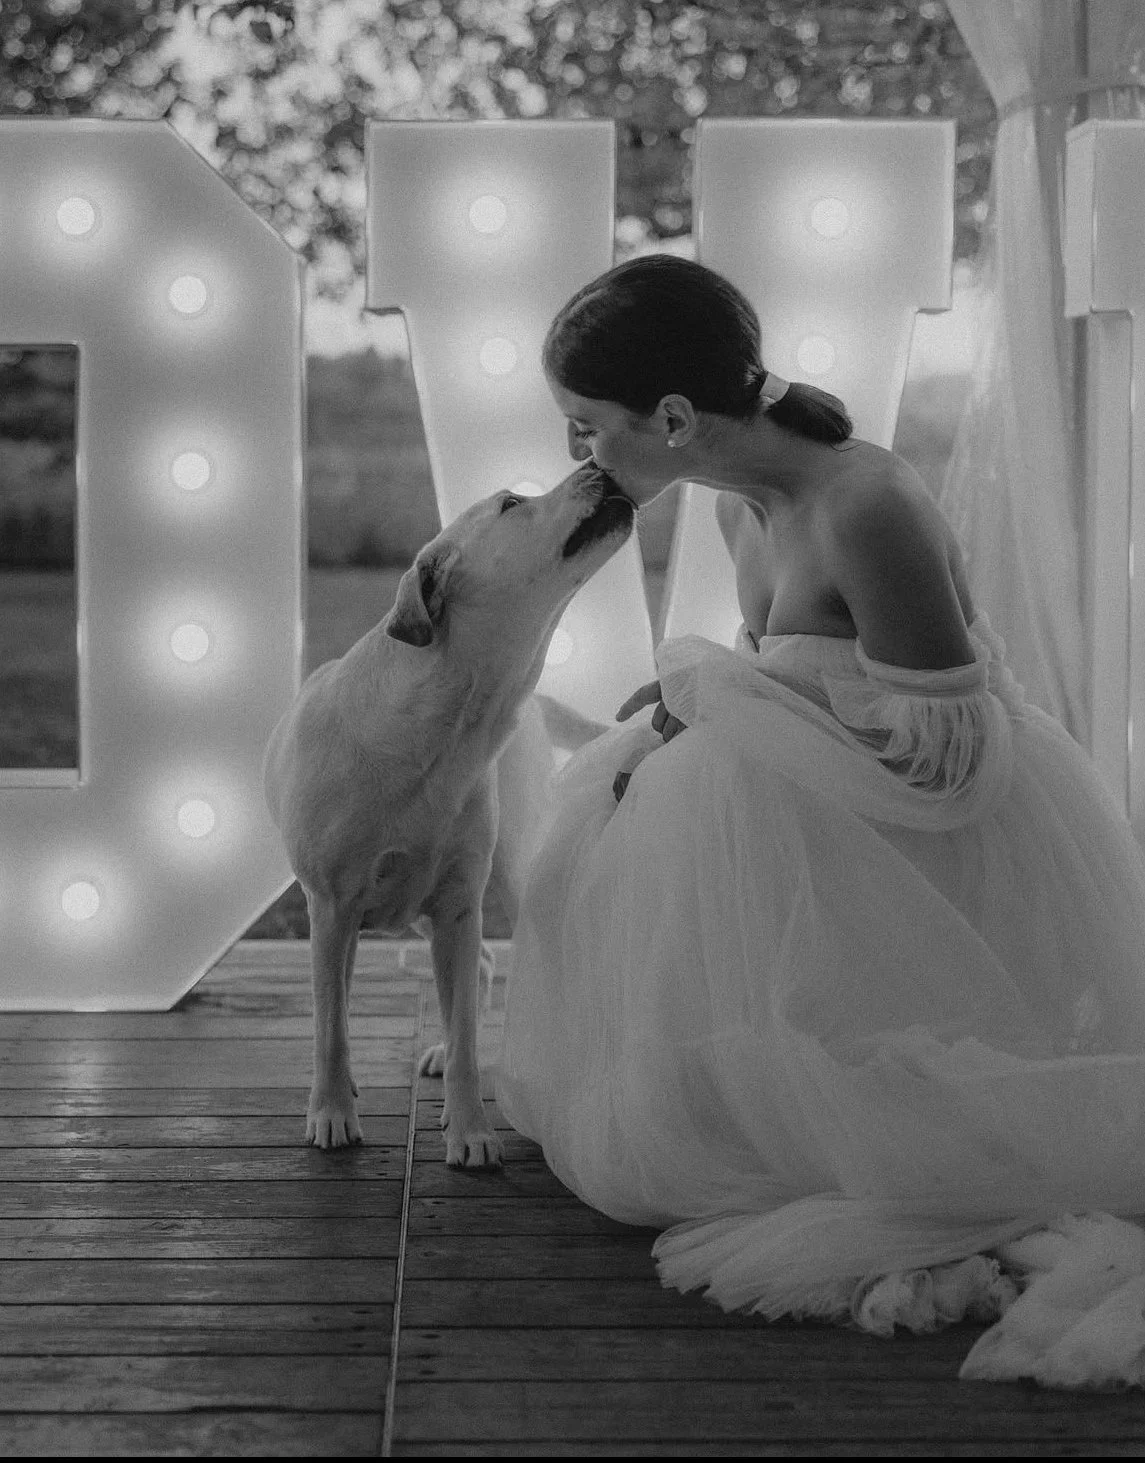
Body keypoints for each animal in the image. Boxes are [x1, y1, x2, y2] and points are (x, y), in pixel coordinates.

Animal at [263, 463, 634, 1165]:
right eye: (512, 504)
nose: (596, 466)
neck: (452, 723)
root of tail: (537, 704)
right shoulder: (331, 903)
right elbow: (330, 1026)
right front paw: (332, 1111)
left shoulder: (459, 902)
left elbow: (463, 1031)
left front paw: (470, 1130)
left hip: (502, 870)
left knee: (480, 969)